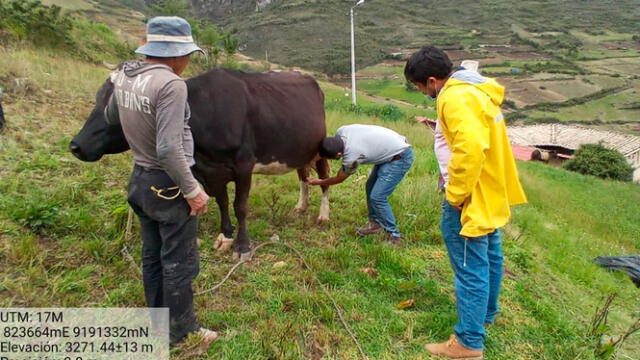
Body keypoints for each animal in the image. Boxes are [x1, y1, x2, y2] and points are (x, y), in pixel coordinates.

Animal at [70, 67, 330, 260]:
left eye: (115, 110)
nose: (75, 146)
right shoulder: (209, 171)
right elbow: (223, 202)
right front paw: (225, 236)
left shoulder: (244, 165)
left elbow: (240, 206)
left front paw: (242, 246)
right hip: (299, 149)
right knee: (303, 176)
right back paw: (301, 206)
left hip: (321, 147)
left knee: (324, 179)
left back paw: (323, 215)